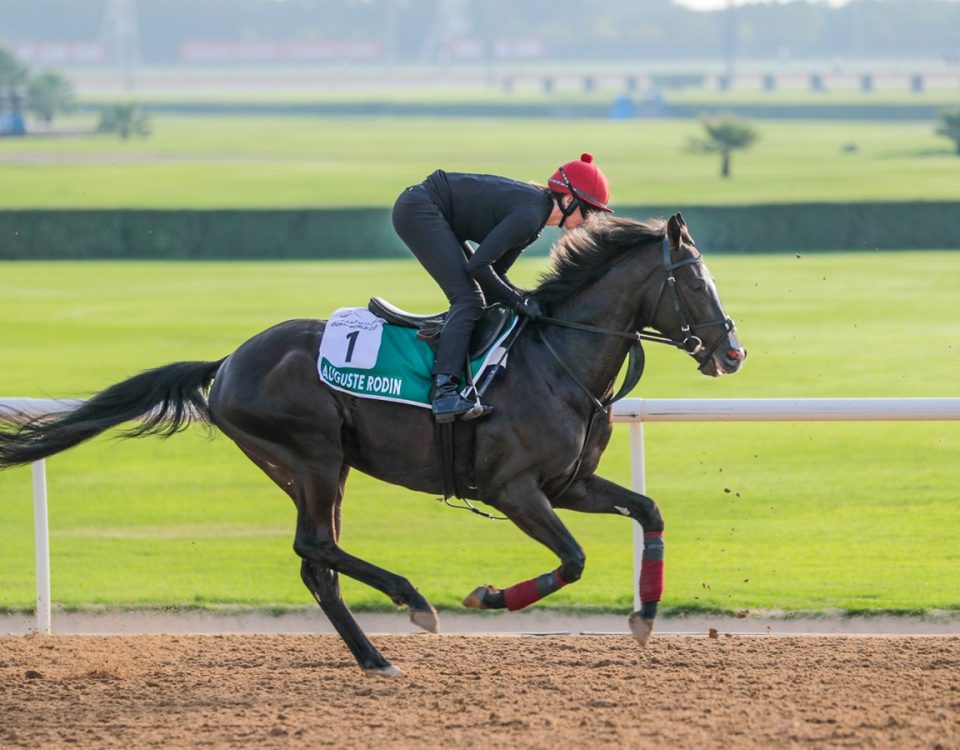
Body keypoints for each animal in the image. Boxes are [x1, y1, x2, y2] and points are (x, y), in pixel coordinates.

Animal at [0, 214, 744, 680]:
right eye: (694, 280)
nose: (732, 352)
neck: (556, 358)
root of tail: (228, 361)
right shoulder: (515, 490)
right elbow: (574, 558)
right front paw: (488, 598)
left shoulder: (569, 485)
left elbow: (648, 512)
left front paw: (645, 616)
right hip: (315, 457)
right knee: (315, 547)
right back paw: (412, 601)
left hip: (307, 469)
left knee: (317, 564)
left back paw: (373, 656)